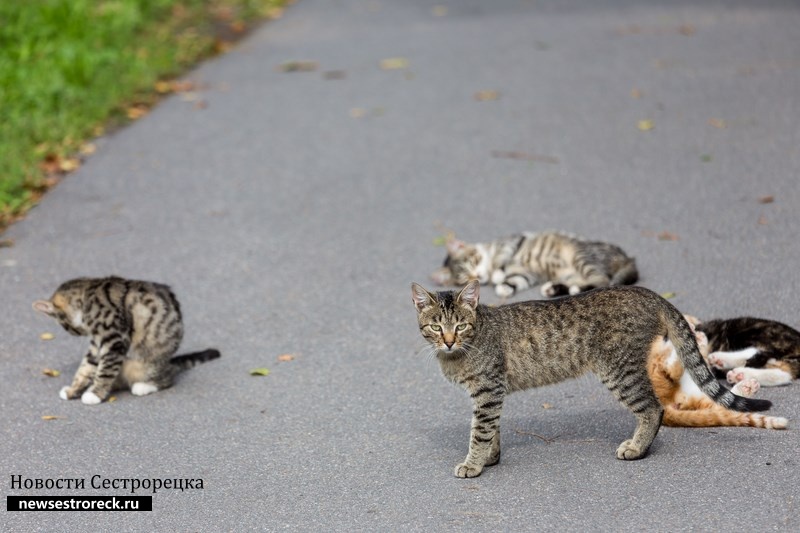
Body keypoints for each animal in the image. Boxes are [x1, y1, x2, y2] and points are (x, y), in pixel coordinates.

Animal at [33, 276, 219, 406]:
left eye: (65, 326)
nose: (75, 333)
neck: (89, 298)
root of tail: (169, 361)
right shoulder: (96, 345)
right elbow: (86, 368)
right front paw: (74, 390)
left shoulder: (115, 341)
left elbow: (105, 370)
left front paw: (95, 394)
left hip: (146, 362)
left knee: (168, 377)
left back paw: (143, 386)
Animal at [412, 280, 768, 476]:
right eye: (436, 326)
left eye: (460, 326)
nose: (448, 341)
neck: (459, 353)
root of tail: (646, 292)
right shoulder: (491, 393)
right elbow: (492, 430)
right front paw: (490, 459)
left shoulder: (488, 390)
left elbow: (480, 432)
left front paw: (473, 464)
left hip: (619, 370)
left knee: (653, 408)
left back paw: (636, 448)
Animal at [432, 231, 636, 300]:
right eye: (464, 278)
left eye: (472, 262)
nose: (478, 277)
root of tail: (627, 257)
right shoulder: (527, 273)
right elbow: (517, 279)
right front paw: (505, 287)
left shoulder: (511, 243)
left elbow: (502, 260)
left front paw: (498, 276)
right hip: (571, 273)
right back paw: (553, 289)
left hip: (581, 257)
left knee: (602, 281)